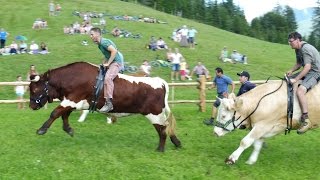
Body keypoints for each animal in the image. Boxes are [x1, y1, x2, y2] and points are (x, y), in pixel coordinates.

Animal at [28, 61, 181, 151]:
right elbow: (64, 114)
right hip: (158, 114)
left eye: (34, 89)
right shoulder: (73, 102)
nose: (31, 105)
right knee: (167, 127)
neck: (71, 78)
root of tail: (160, 81)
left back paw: (160, 149)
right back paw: (177, 143)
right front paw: (69, 129)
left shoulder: (72, 100)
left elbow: (55, 113)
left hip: (154, 114)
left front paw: (42, 129)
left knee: (163, 130)